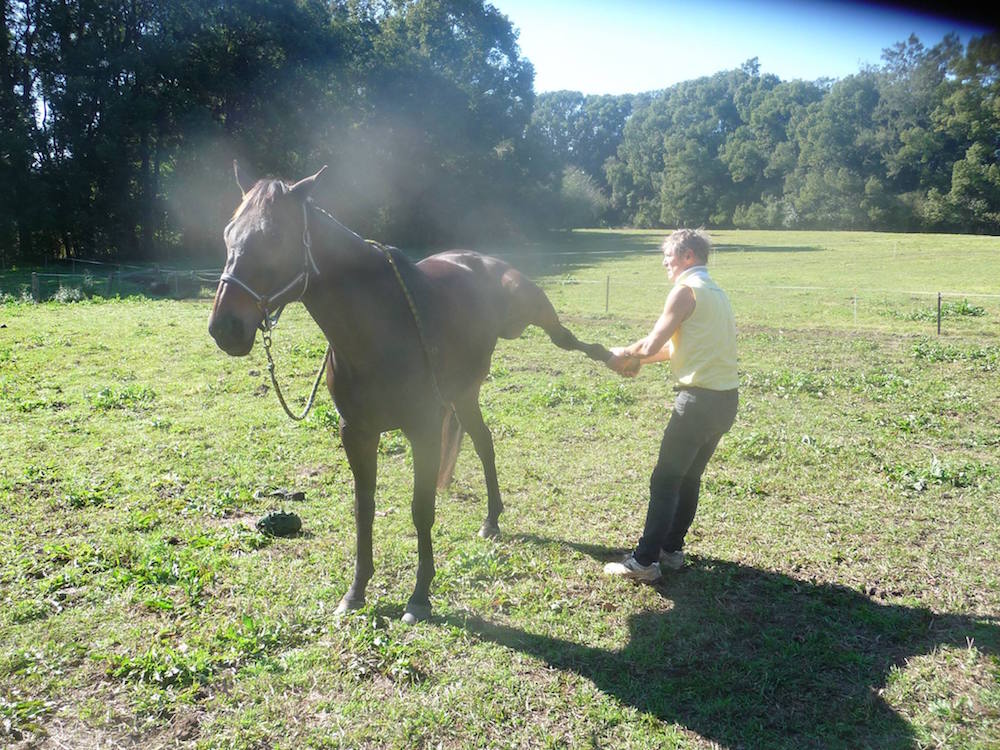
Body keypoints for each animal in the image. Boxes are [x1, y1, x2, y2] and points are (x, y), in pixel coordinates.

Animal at [209, 167, 608, 624]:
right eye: (228, 234)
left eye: (275, 236)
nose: (224, 327)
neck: (379, 329)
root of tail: (482, 261)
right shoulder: (356, 433)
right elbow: (364, 509)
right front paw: (356, 592)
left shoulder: (423, 429)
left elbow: (422, 509)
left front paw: (419, 596)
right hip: (464, 393)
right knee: (484, 442)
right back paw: (491, 521)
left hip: (528, 321)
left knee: (564, 339)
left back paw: (613, 357)